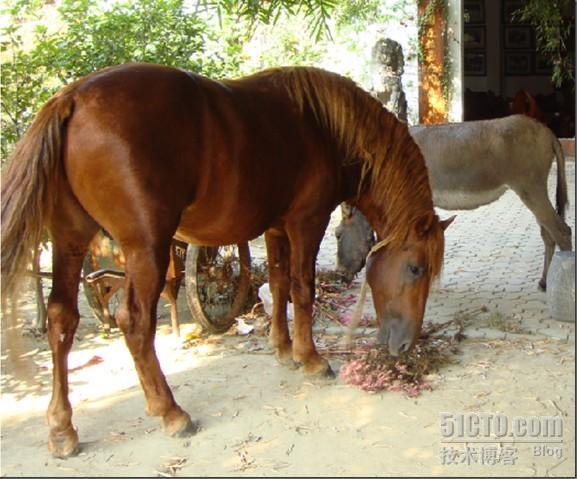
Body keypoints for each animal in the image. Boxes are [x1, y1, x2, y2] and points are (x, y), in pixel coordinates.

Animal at [1, 63, 450, 458]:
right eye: (415, 268)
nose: (405, 345)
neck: (326, 130)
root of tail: (73, 97)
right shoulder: (306, 222)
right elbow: (302, 289)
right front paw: (310, 358)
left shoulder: (275, 228)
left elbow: (279, 285)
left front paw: (282, 348)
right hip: (146, 247)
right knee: (134, 323)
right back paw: (171, 412)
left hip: (70, 239)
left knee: (61, 319)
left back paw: (62, 429)